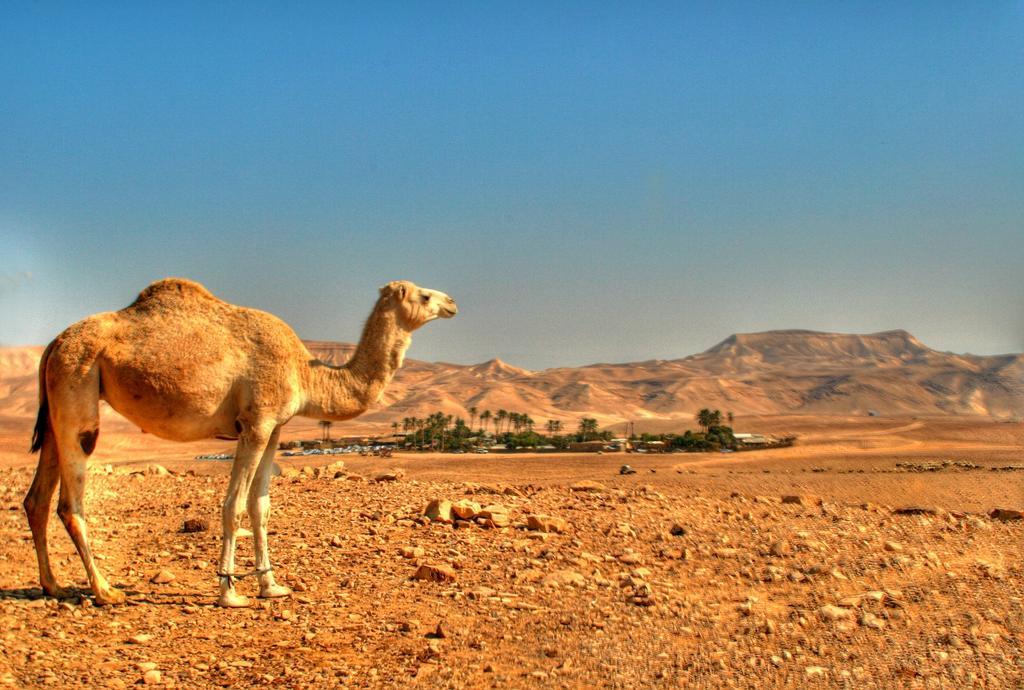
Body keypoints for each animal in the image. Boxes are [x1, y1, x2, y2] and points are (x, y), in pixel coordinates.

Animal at [24, 276, 456, 606]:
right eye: (423, 295)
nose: (452, 302)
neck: (307, 373)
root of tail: (53, 344)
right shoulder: (257, 423)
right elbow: (233, 506)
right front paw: (229, 592)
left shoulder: (275, 427)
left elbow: (259, 506)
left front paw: (272, 586)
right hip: (78, 383)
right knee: (69, 502)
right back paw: (105, 590)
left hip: (58, 401)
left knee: (36, 499)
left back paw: (54, 585)